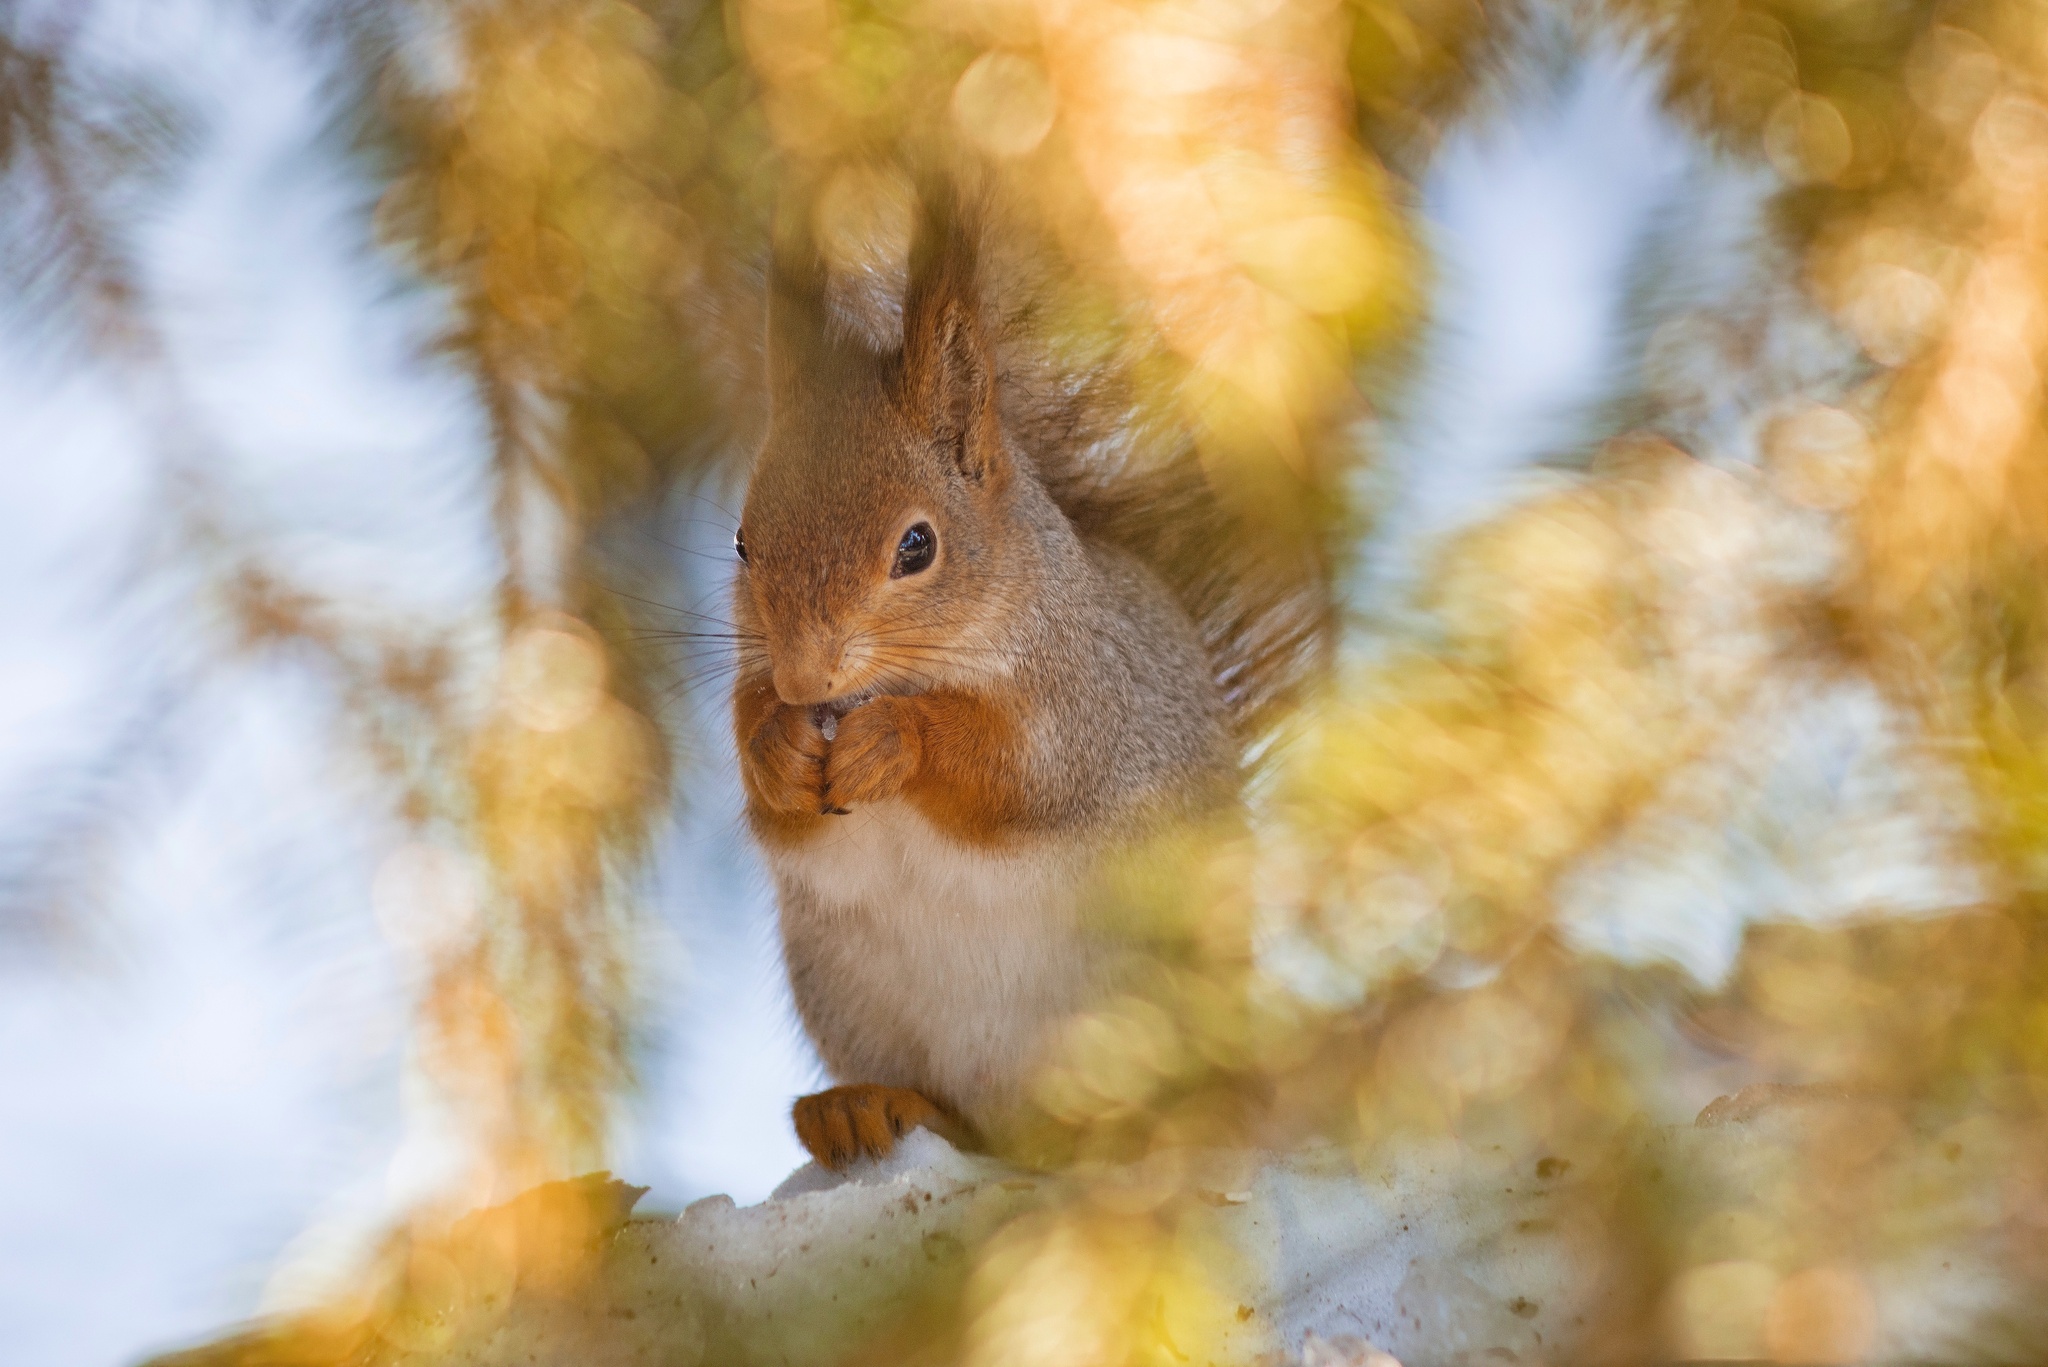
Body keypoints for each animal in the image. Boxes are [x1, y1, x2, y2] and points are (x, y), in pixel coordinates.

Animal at [733, 176, 1327, 1172]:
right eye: (741, 543)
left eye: (917, 546)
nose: (807, 680)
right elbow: (776, 812)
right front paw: (777, 747)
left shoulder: (1086, 705)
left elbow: (1010, 777)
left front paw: (894, 739)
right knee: (951, 1114)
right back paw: (865, 1107)